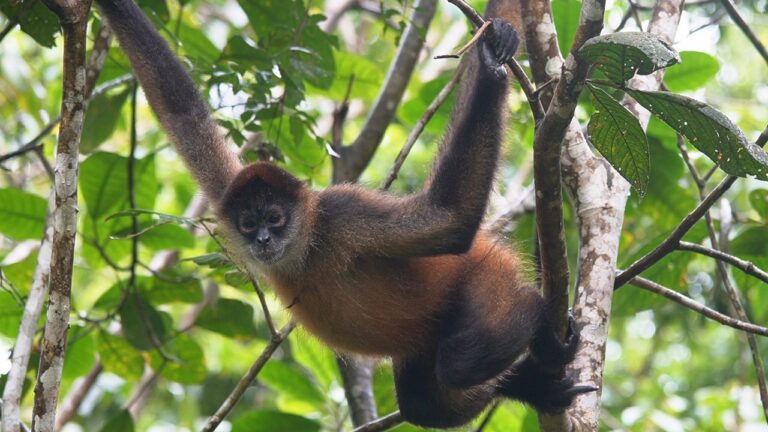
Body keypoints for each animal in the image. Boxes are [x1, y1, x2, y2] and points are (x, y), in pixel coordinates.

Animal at [95, 0, 595, 428]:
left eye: (275, 219)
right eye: (249, 224)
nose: (262, 242)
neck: (304, 251)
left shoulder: (340, 213)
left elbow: (450, 221)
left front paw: (490, 64)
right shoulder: (227, 193)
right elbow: (180, 109)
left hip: (486, 277)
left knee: (461, 360)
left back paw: (541, 326)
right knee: (423, 399)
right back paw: (533, 385)